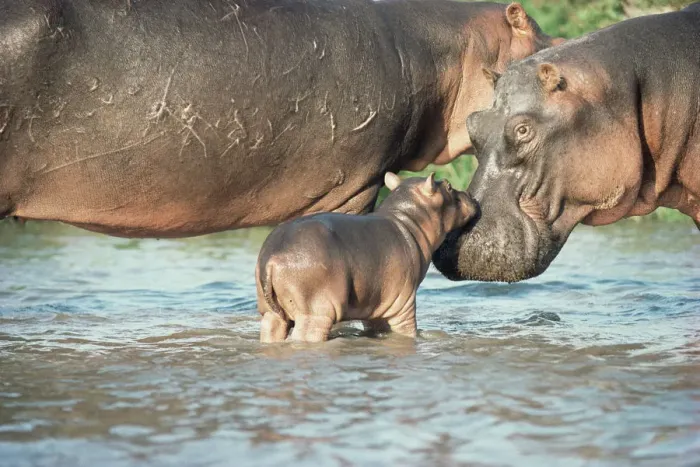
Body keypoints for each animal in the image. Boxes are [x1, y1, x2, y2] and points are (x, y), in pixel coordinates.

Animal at [255, 172, 475, 343]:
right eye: (448, 186)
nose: (471, 196)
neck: (407, 219)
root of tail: (271, 259)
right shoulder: (403, 306)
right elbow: (407, 332)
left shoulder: (378, 307)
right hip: (314, 312)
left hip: (271, 312)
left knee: (271, 328)